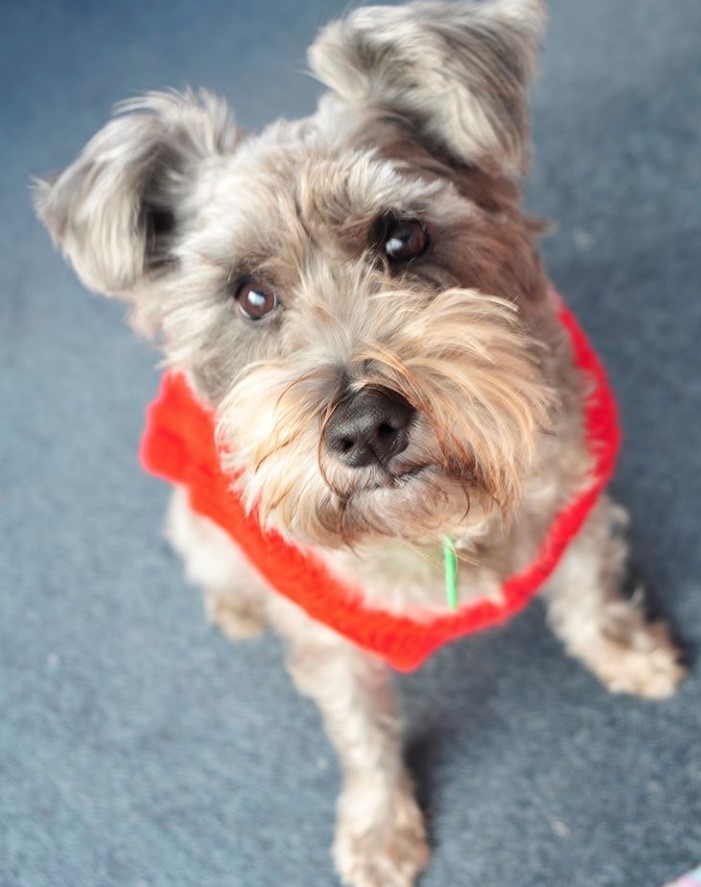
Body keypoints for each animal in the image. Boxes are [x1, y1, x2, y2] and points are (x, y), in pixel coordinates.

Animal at [32, 1, 684, 887]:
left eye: (402, 237)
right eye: (251, 295)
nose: (366, 424)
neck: (433, 526)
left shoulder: (575, 499)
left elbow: (588, 596)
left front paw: (624, 651)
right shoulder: (327, 635)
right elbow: (362, 732)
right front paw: (379, 826)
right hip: (196, 524)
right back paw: (235, 606)